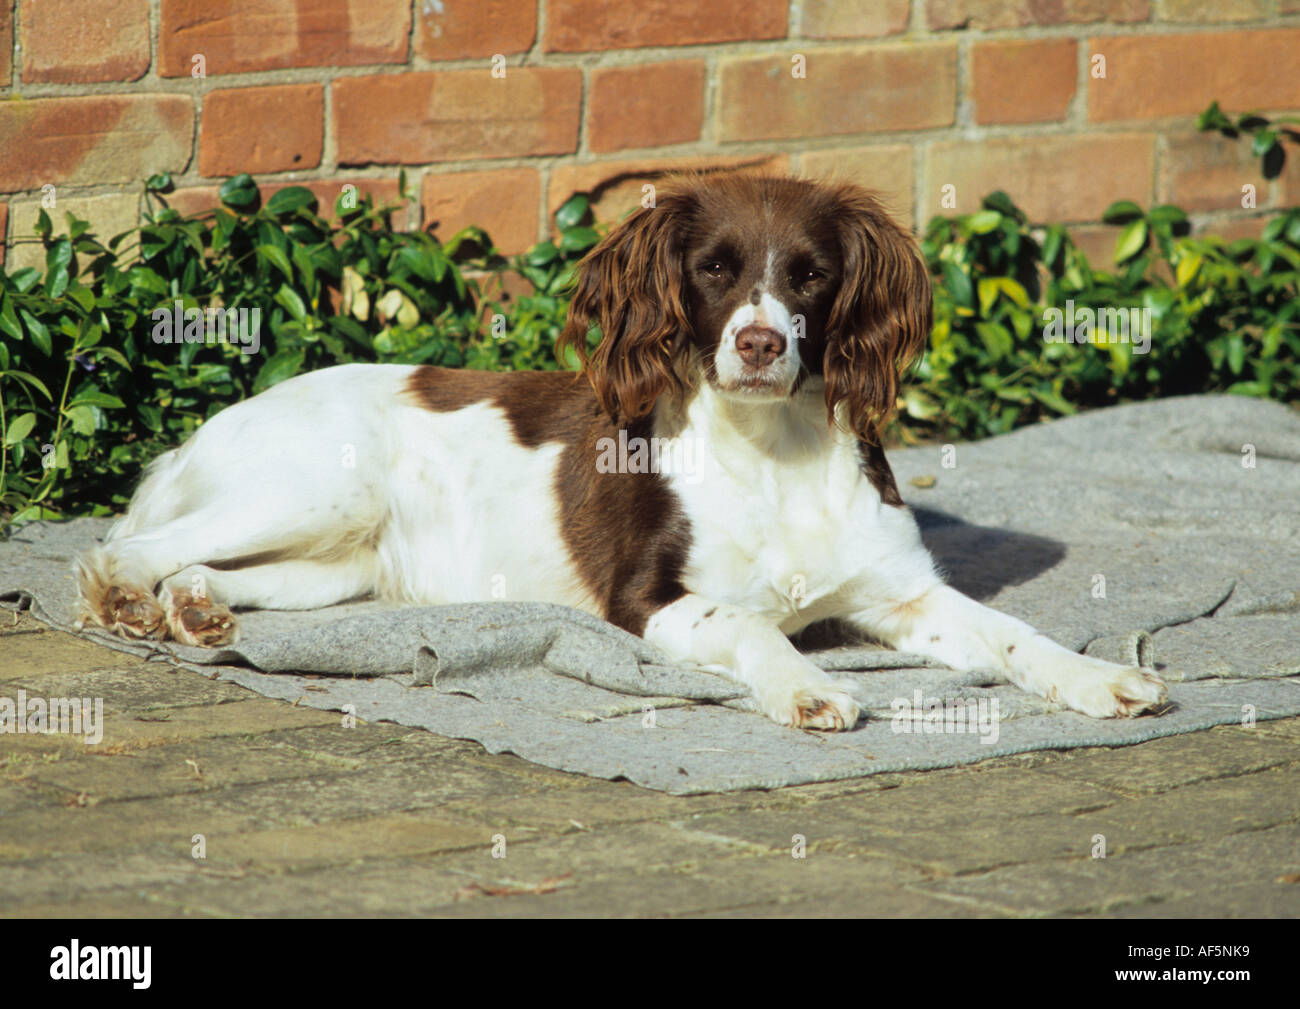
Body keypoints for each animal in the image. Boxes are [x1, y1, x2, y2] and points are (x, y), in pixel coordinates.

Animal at [73, 171, 1170, 722]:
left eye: (812, 275)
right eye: (714, 269)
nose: (760, 343)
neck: (773, 452)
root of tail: (205, 429)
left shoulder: (899, 593)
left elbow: (1013, 634)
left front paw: (1100, 679)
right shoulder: (651, 599)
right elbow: (755, 627)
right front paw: (809, 686)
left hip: (338, 567)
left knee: (202, 571)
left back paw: (197, 614)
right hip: (316, 490)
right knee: (122, 549)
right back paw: (126, 598)